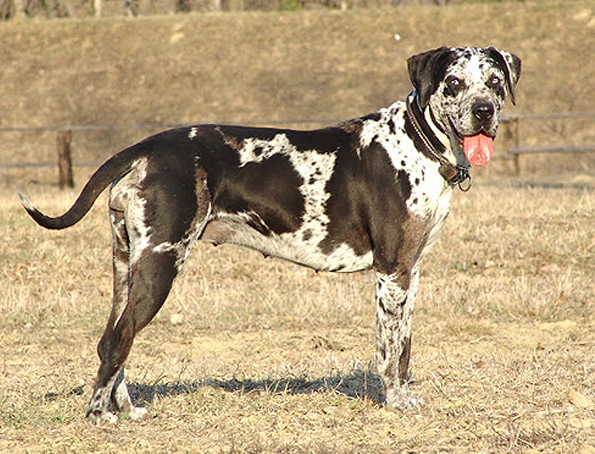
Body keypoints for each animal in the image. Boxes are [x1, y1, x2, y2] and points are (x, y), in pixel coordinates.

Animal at [19, 46, 520, 422]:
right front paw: (396, 403)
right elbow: (390, 352)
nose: (483, 111)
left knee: (116, 338)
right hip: (160, 265)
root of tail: (144, 148)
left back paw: (124, 407)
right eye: (453, 83)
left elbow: (406, 348)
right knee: (115, 340)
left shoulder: (410, 272)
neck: (417, 142)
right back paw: (100, 416)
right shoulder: (391, 272)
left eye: (495, 82)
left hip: (128, 268)